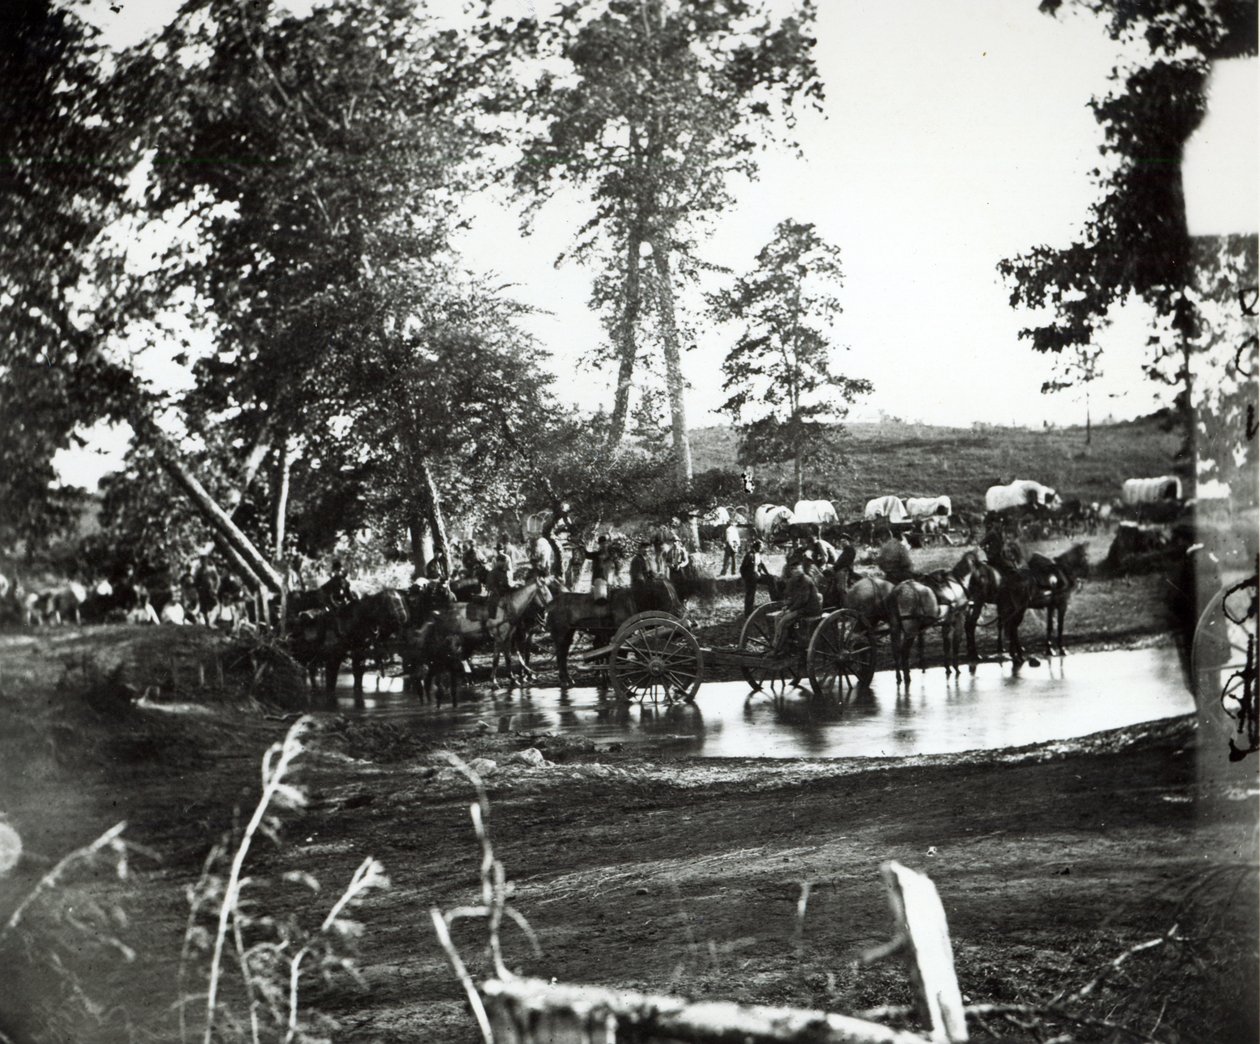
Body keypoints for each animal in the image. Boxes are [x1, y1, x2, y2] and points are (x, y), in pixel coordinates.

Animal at [977, 528, 1088, 669]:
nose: (1087, 573)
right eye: (1085, 557)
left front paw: (1049, 649)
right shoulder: (1062, 605)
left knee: (1007, 627)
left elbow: (1050, 626)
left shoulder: (1051, 606)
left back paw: (1011, 652)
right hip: (1018, 609)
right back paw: (1017, 654)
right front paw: (1061, 649)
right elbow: (1060, 627)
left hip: (1009, 607)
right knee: (1011, 627)